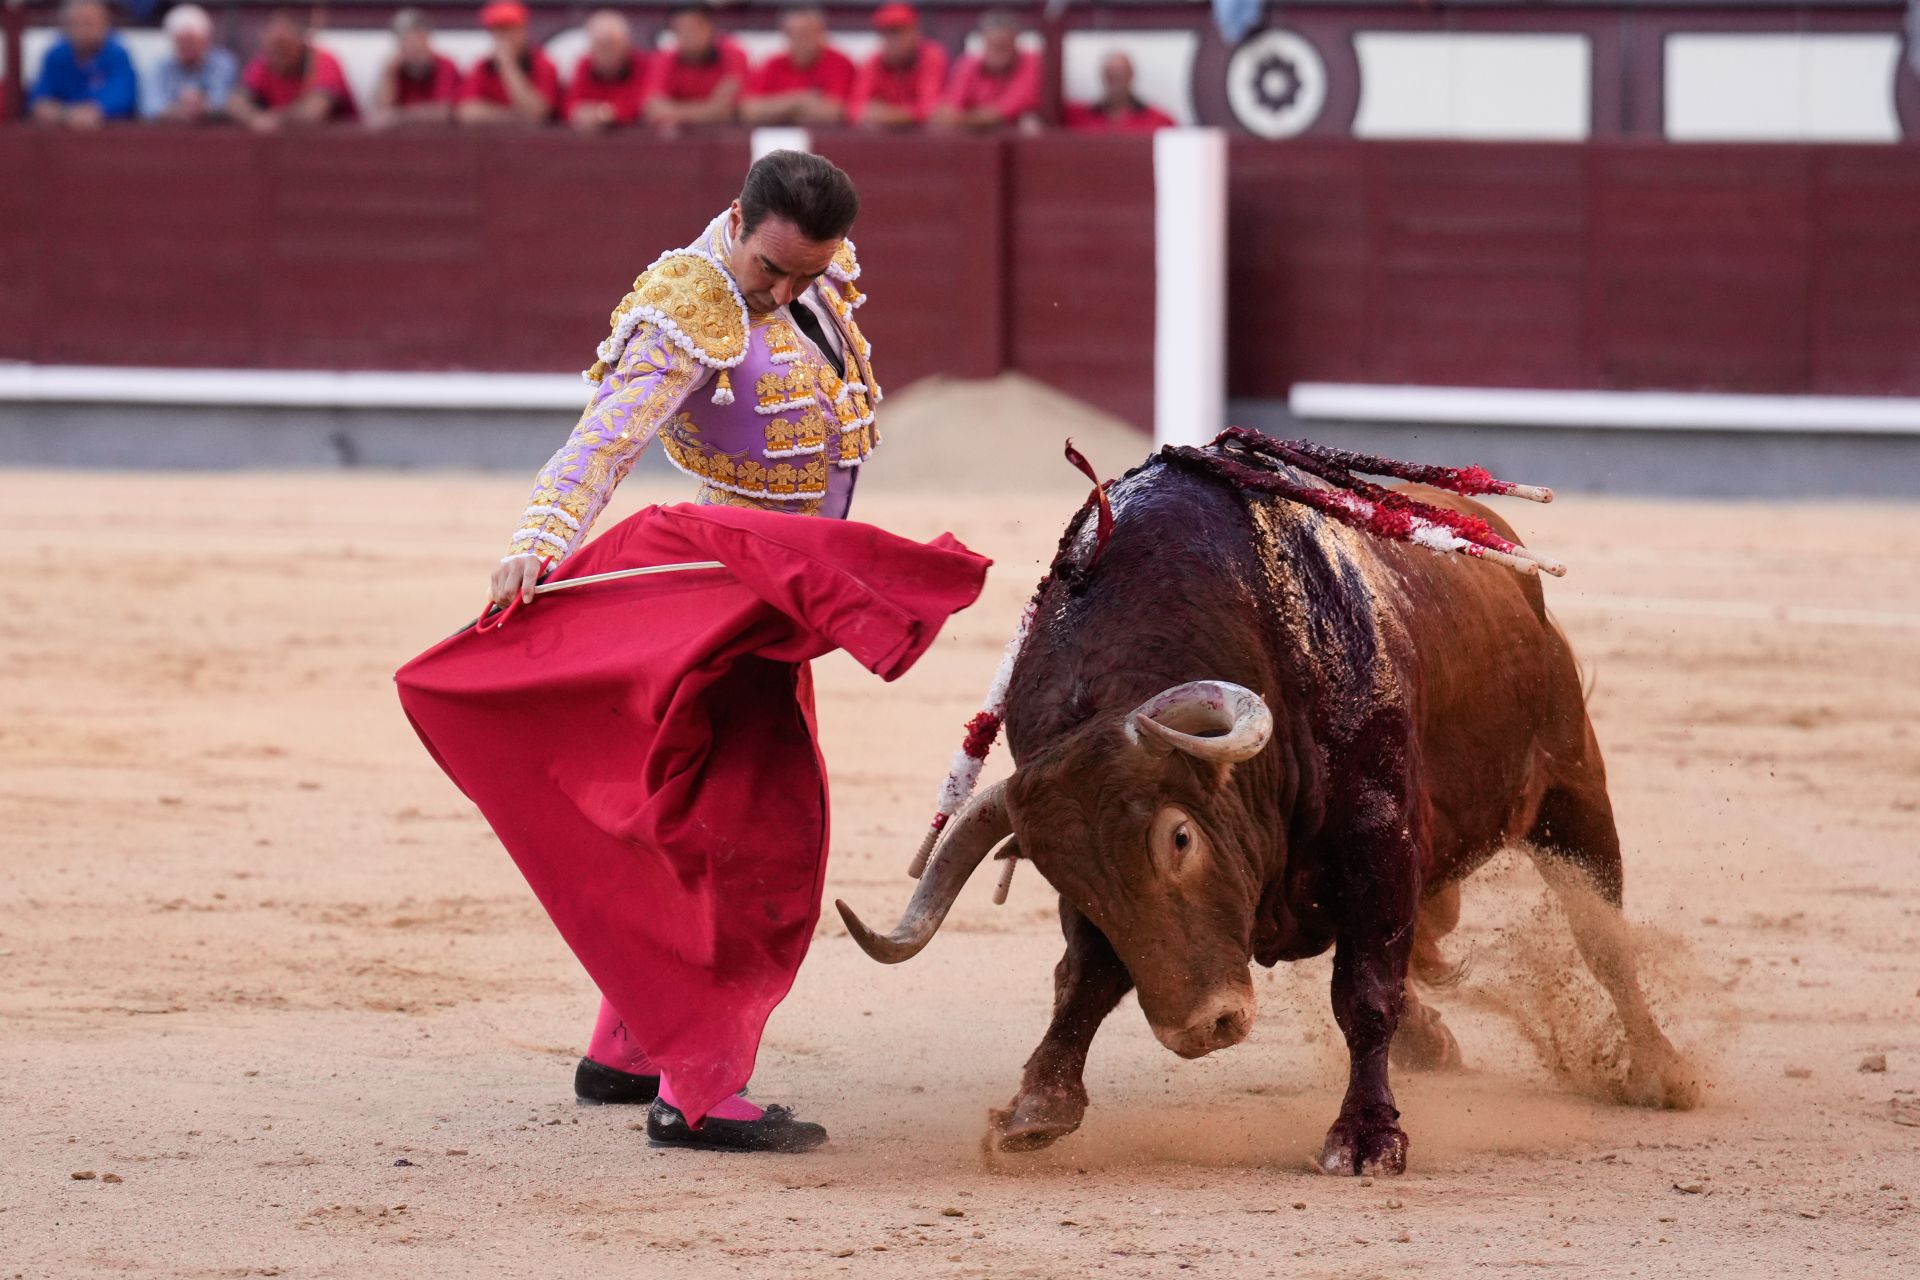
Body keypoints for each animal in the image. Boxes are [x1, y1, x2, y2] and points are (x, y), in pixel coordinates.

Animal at [837, 435, 1697, 1174]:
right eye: (1063, 875)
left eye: (1180, 839)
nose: (1202, 1028)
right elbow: (1085, 975)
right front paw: (1035, 1110)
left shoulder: (1380, 839)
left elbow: (1365, 988)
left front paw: (1366, 1138)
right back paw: (1438, 1042)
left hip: (1572, 789)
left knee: (1603, 939)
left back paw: (1663, 1072)